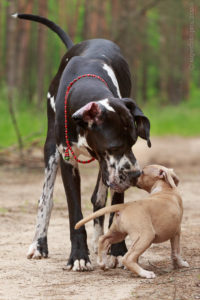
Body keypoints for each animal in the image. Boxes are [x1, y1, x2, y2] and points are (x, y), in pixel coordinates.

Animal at [12, 13, 150, 272]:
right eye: (114, 146)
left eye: (133, 142)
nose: (135, 175)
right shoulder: (67, 160)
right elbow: (74, 214)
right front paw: (78, 256)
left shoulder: (109, 168)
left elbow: (113, 204)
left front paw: (118, 251)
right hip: (51, 152)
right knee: (46, 198)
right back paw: (39, 244)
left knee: (99, 199)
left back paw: (101, 242)